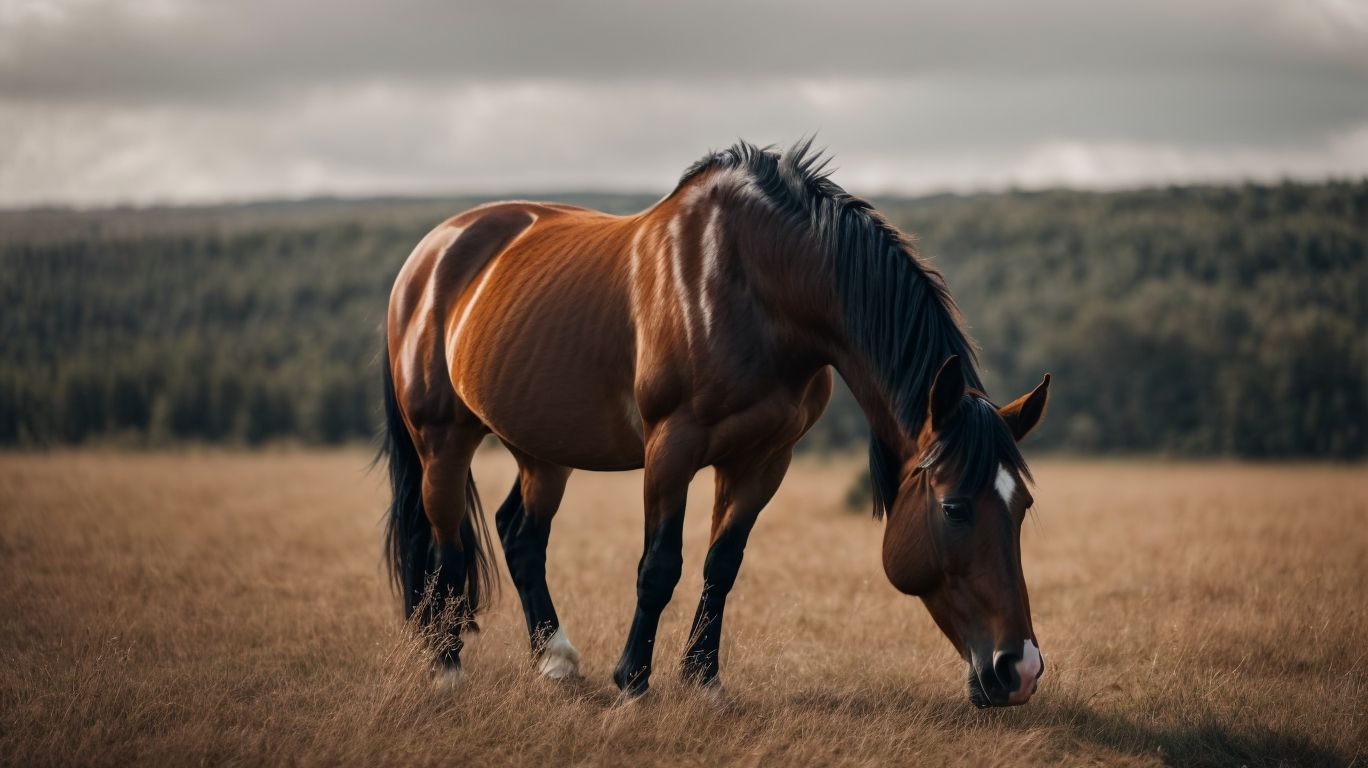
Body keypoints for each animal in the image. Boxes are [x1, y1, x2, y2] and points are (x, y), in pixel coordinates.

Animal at [379, 139, 1052, 708]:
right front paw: (634, 682)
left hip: (543, 449)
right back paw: (446, 667)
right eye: (954, 508)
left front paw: (703, 680)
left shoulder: (762, 460)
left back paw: (556, 660)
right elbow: (659, 567)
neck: (752, 286)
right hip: (443, 440)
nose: (1019, 669)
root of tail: (430, 254)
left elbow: (721, 566)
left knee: (519, 535)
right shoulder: (671, 449)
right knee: (446, 542)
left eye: (1022, 508)